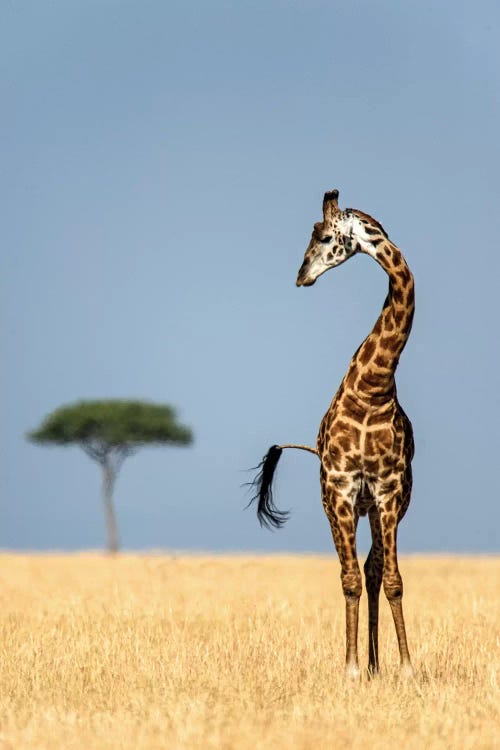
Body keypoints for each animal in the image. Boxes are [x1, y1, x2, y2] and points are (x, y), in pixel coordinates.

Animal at [248, 189, 416, 680]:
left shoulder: (387, 490)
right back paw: (367, 665)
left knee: (375, 570)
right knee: (359, 573)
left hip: (381, 509)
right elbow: (348, 580)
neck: (373, 388)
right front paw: (350, 669)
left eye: (323, 236)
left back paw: (379, 665)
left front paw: (405, 668)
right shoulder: (340, 488)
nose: (302, 275)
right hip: (342, 503)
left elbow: (392, 580)